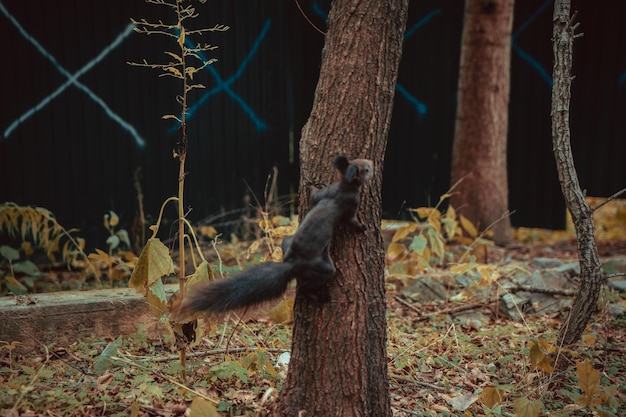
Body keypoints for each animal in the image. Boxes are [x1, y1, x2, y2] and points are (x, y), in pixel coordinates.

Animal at [176, 154, 370, 314]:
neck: (344, 185)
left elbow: (315, 196)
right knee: (314, 281)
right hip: (322, 266)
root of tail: (291, 263)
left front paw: (310, 186)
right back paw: (315, 296)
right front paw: (362, 227)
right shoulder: (350, 203)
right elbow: (351, 220)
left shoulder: (327, 192)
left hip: (287, 242)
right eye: (366, 169)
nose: (372, 163)